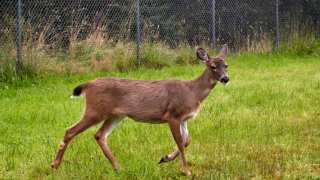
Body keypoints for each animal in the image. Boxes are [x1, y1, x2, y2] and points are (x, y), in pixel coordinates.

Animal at [51, 44, 229, 176]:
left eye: (226, 65)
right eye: (213, 66)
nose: (225, 78)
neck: (192, 92)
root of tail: (88, 84)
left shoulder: (184, 118)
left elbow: (186, 141)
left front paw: (165, 158)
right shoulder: (172, 114)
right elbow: (180, 142)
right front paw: (186, 171)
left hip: (116, 115)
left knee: (99, 135)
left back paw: (118, 167)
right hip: (95, 110)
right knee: (70, 130)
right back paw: (55, 165)